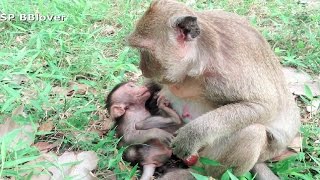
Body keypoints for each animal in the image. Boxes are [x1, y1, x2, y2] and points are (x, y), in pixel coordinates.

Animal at [127, 0, 300, 179]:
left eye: (143, 50)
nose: (142, 68)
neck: (200, 60)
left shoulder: (228, 72)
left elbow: (265, 106)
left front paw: (192, 135)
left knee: (253, 132)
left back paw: (194, 173)